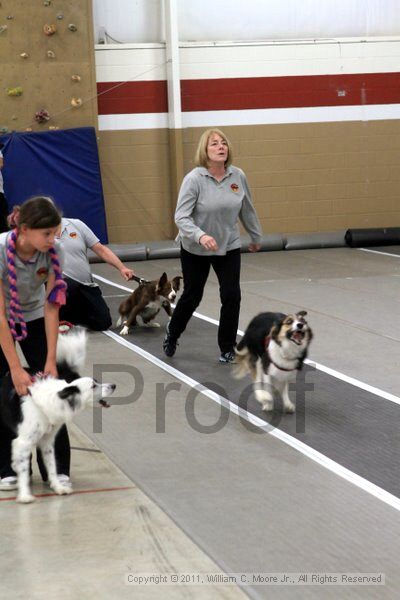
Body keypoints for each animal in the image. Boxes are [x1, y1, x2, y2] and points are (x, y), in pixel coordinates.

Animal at [0, 330, 115, 504]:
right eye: (93, 386)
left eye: (97, 382)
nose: (114, 385)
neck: (55, 400)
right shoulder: (23, 442)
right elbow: (24, 469)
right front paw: (25, 495)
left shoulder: (47, 441)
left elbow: (52, 466)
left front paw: (58, 487)